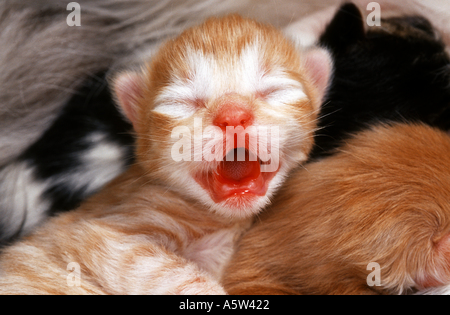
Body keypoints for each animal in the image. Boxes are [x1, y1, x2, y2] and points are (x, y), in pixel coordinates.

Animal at [0, 14, 330, 296]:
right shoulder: (107, 232)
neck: (225, 219)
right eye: (182, 103)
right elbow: (169, 272)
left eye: (274, 91)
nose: (233, 115)